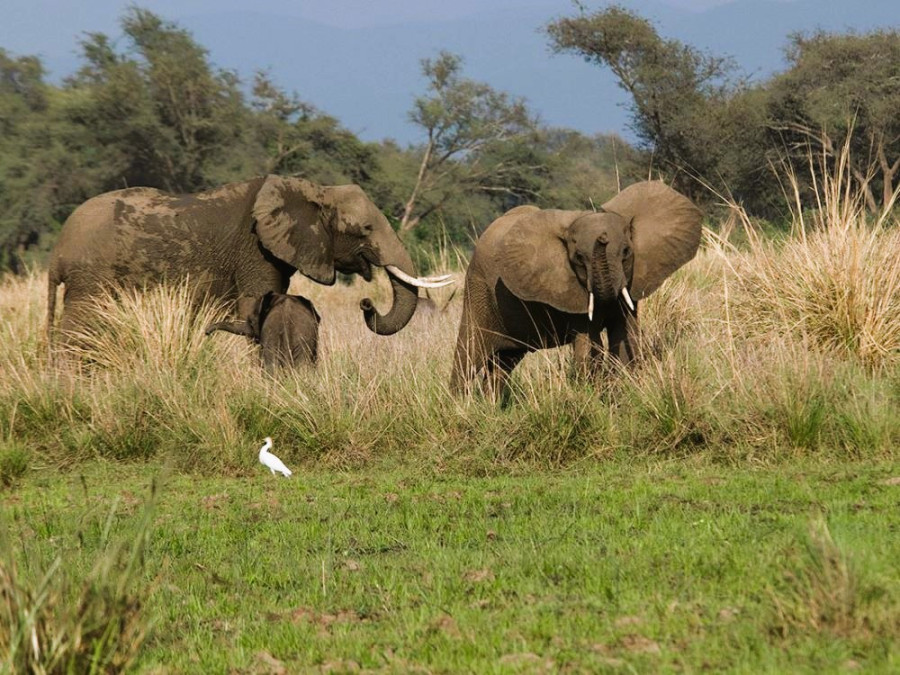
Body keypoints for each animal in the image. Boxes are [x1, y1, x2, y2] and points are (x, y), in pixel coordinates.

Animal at [44, 176, 448, 344]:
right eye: (365, 228)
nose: (366, 303)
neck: (312, 190)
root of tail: (58, 250)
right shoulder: (255, 250)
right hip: (91, 278)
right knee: (80, 327)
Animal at [450, 180, 704, 402]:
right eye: (579, 259)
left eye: (626, 252)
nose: (602, 237)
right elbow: (589, 344)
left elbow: (625, 335)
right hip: (478, 291)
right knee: (468, 356)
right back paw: (459, 406)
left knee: (502, 365)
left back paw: (490, 408)